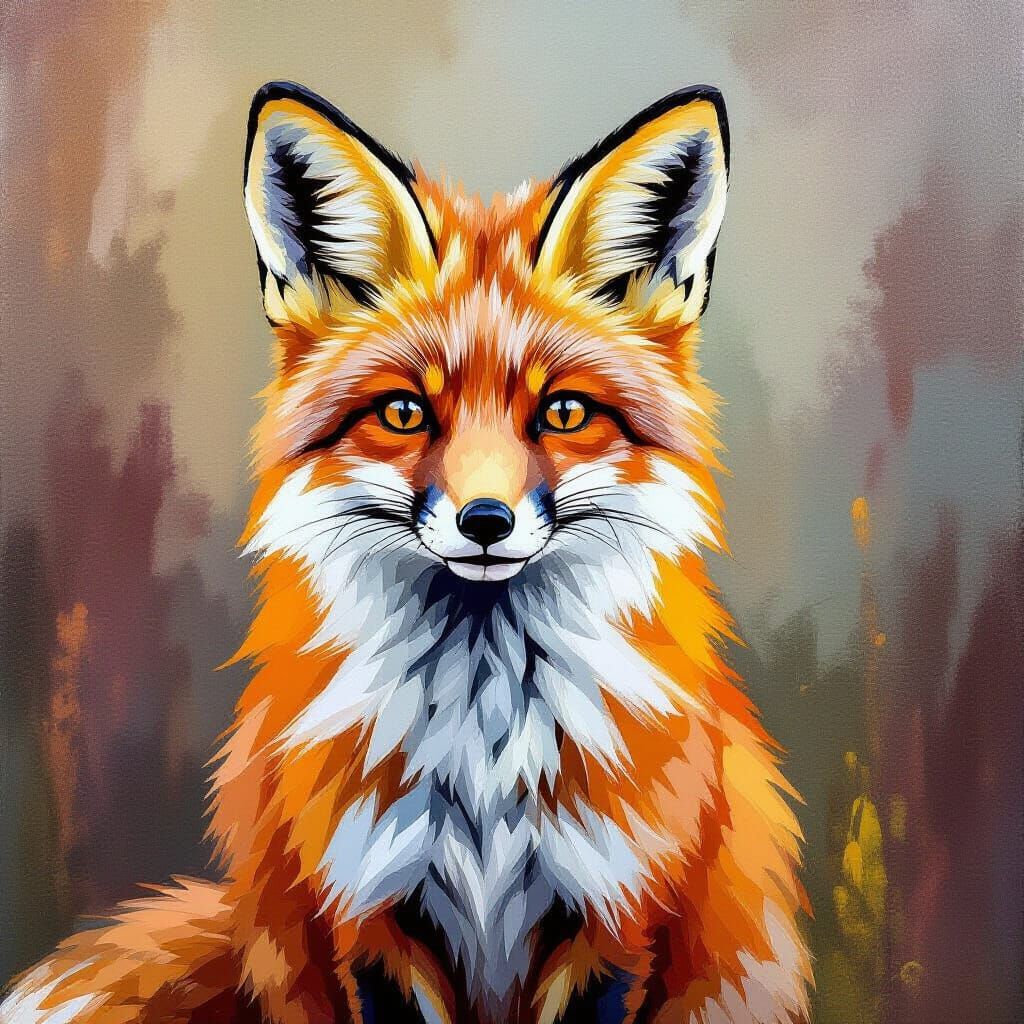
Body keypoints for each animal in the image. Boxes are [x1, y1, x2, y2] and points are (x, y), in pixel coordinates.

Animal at [2, 82, 810, 1024]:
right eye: (404, 413)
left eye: (564, 413)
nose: (486, 520)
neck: (486, 753)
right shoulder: (369, 917)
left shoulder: (617, 919)